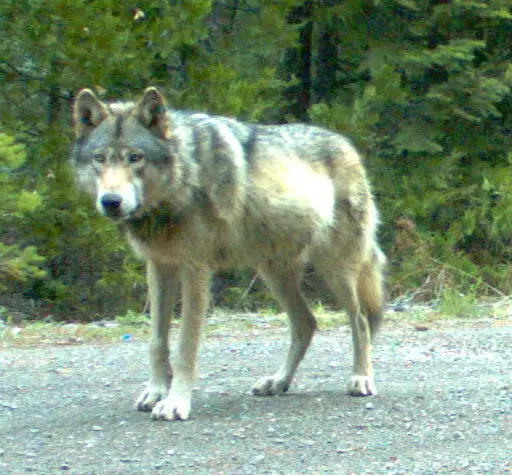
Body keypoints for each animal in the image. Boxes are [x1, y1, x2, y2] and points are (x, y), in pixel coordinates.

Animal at [71, 87, 384, 422]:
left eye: (135, 157)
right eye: (99, 158)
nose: (111, 201)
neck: (184, 175)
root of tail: (348, 145)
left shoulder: (195, 270)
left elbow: (185, 346)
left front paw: (175, 403)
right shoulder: (159, 267)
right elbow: (157, 342)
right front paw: (155, 392)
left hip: (336, 270)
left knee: (361, 321)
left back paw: (361, 378)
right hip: (274, 273)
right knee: (306, 324)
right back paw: (278, 382)